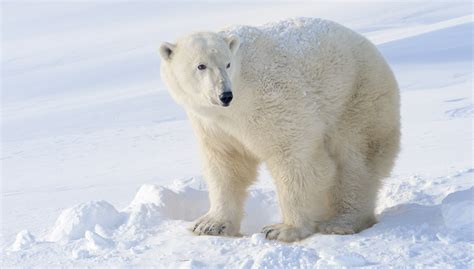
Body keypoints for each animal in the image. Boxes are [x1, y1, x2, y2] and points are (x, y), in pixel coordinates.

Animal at [159, 17, 400, 242]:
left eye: (227, 64)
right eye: (201, 66)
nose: (225, 95)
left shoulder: (272, 100)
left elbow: (294, 156)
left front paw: (283, 229)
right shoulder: (212, 125)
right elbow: (226, 164)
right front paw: (210, 225)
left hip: (358, 98)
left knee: (355, 160)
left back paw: (341, 222)